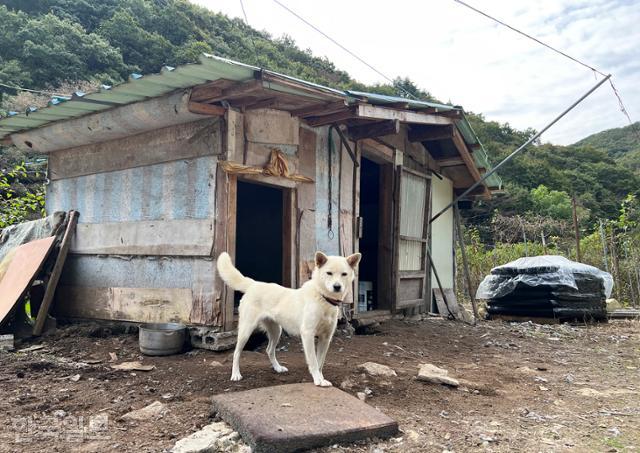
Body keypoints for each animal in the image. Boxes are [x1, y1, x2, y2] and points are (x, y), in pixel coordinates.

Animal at [218, 251, 362, 384]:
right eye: (329, 273)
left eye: (344, 274)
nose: (337, 287)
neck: (323, 298)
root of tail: (254, 284)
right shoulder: (308, 334)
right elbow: (314, 361)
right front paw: (317, 380)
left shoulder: (326, 338)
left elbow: (320, 362)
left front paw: (321, 378)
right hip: (246, 330)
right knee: (236, 353)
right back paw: (236, 374)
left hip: (276, 331)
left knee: (269, 350)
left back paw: (278, 368)